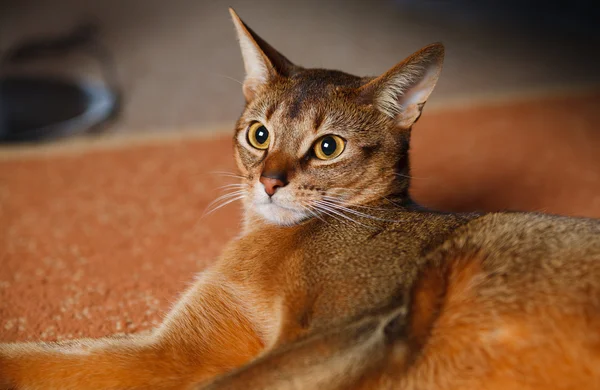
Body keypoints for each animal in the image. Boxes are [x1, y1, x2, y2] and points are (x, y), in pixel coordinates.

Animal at [1, 6, 600, 390]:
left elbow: (223, 387)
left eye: (328, 146)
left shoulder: (346, 331)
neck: (271, 243)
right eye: (258, 134)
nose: (270, 181)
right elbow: (49, 357)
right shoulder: (169, 350)